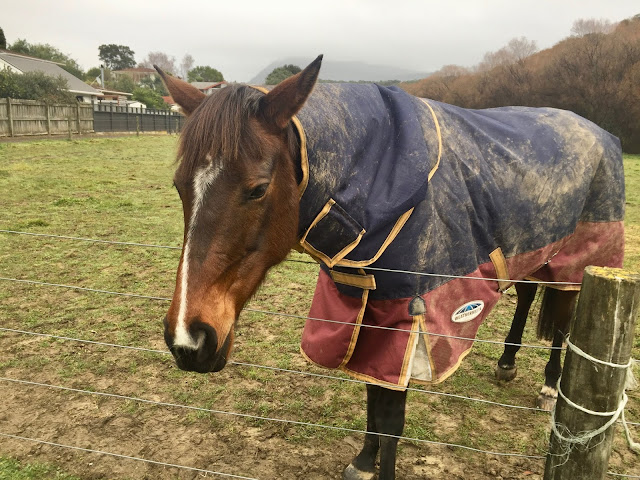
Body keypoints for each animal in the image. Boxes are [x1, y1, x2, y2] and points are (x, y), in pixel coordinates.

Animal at [156, 55, 625, 480]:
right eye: (178, 186)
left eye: (257, 189)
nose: (187, 340)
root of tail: (599, 132)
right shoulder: (366, 311)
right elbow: (371, 396)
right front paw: (364, 460)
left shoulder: (408, 322)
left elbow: (391, 420)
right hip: (534, 250)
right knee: (527, 296)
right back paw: (507, 363)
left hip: (581, 261)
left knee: (564, 321)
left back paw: (551, 387)